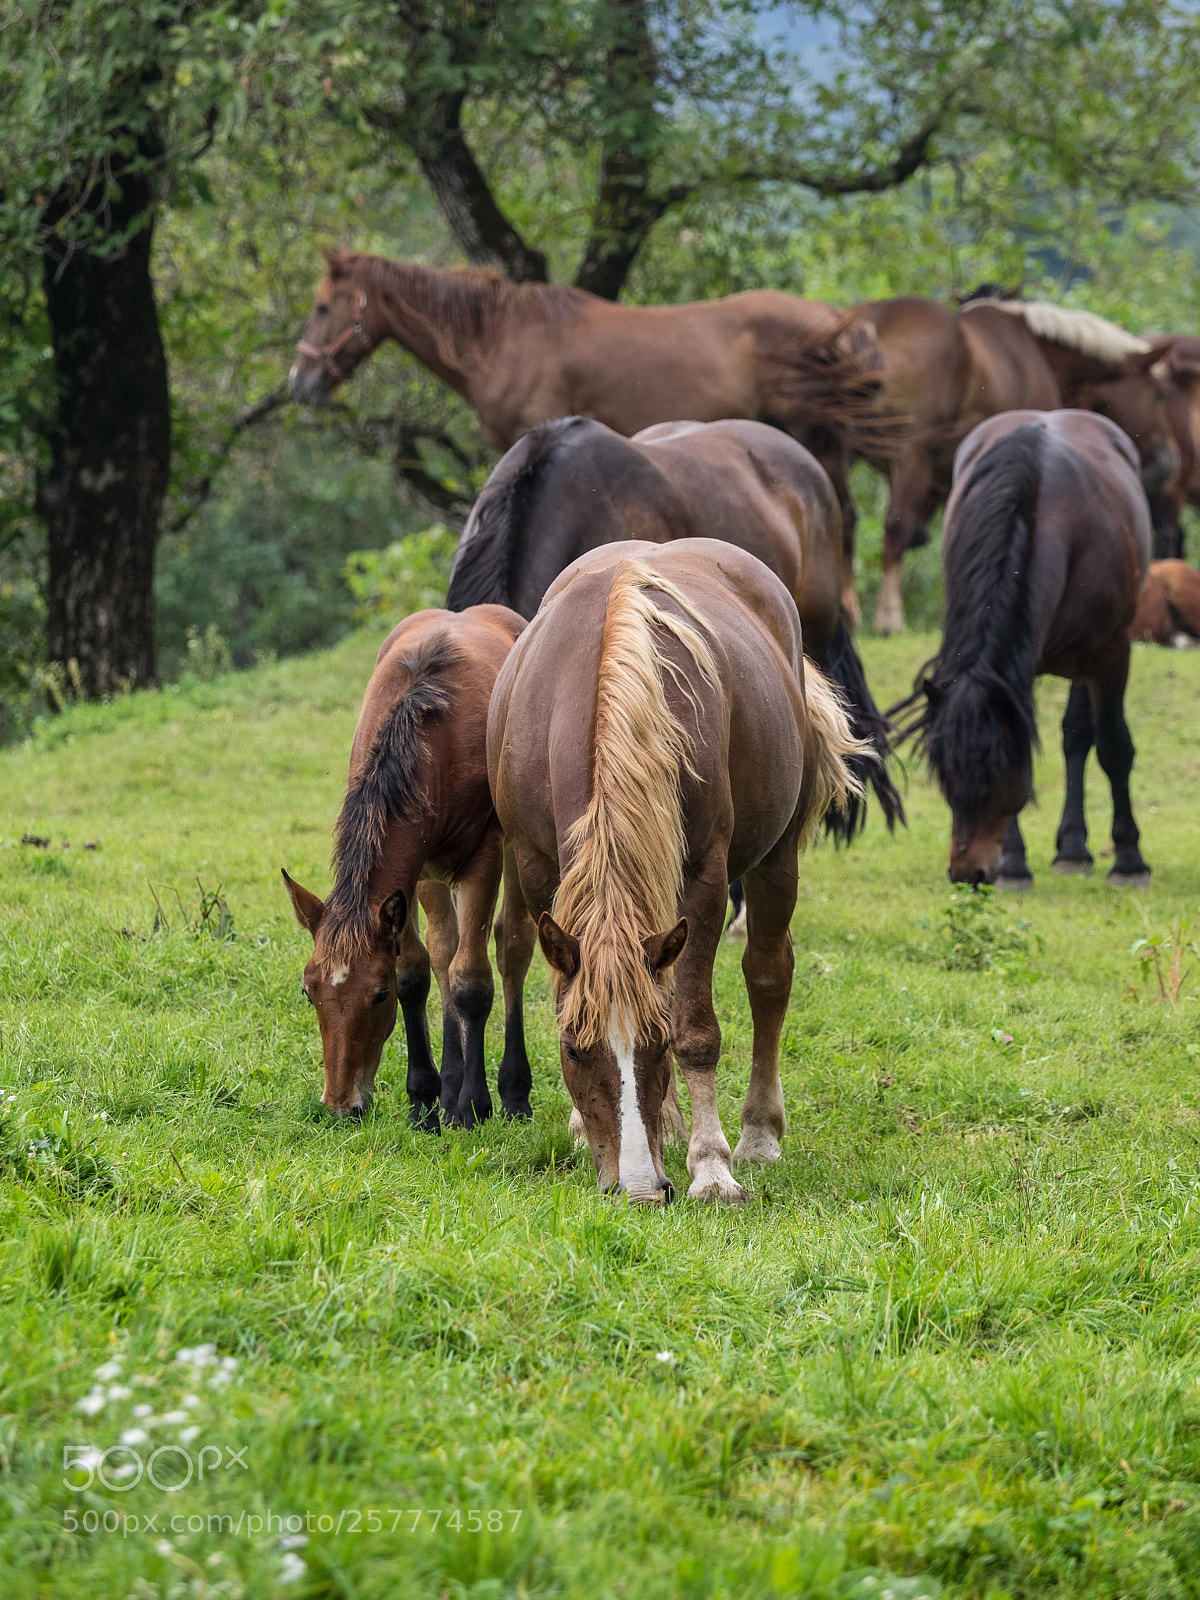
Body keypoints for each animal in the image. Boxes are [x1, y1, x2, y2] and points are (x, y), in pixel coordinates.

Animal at [282, 605, 536, 1128]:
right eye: (309, 992)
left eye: (378, 995)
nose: (341, 1105)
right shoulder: (417, 870)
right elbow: (419, 971)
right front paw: (425, 1099)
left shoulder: (482, 857)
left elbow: (471, 981)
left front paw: (473, 1104)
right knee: (444, 948)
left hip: (512, 851)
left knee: (512, 946)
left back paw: (511, 1092)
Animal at [288, 249, 884, 617]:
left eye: (322, 306)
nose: (300, 381)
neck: (501, 341)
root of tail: (833, 318)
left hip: (818, 437)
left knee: (849, 517)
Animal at [488, 539, 862, 1203]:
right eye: (575, 1050)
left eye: (656, 1044)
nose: (637, 1188)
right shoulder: (536, 870)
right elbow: (564, 993)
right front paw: (595, 1130)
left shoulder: (705, 883)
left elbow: (697, 1027)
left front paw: (711, 1165)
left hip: (776, 858)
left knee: (769, 975)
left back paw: (758, 1133)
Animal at [786, 291, 1178, 633]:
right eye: (1159, 393)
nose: (1169, 460)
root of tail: (870, 323)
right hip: (909, 455)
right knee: (894, 526)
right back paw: (889, 616)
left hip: (833, 452)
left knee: (845, 519)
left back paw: (849, 611)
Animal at [892, 410, 1151, 887]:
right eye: (945, 775)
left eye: (994, 773)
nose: (967, 873)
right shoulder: (1016, 670)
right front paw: (1014, 863)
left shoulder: (1111, 654)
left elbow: (1113, 747)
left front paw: (1129, 860)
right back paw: (1071, 848)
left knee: (1081, 736)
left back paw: (1076, 850)